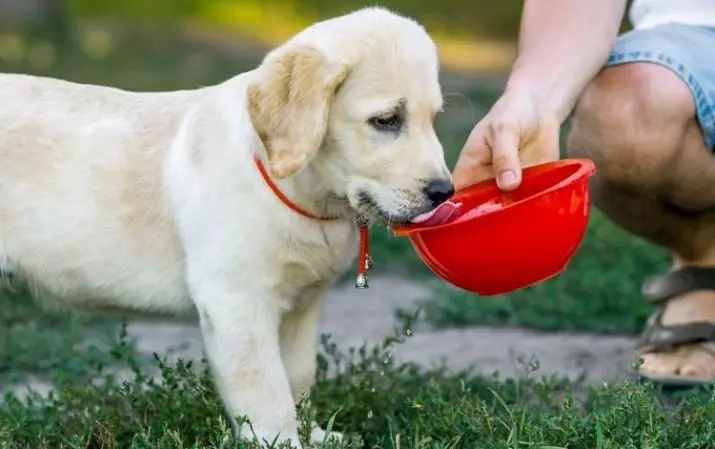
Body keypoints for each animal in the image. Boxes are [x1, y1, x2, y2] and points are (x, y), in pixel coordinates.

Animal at [0, 5, 454, 446]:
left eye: (434, 118)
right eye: (386, 120)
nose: (444, 191)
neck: (301, 191)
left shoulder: (301, 305)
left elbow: (298, 377)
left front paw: (315, 435)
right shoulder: (237, 300)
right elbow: (267, 390)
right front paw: (282, 441)